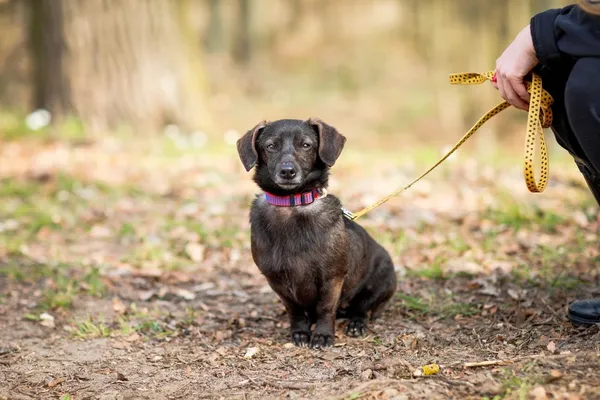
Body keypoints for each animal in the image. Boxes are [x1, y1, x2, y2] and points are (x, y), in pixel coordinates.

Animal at [236, 118, 398, 346]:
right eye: (270, 146)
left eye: (306, 145)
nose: (287, 171)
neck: (292, 204)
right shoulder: (276, 280)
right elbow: (294, 310)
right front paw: (300, 332)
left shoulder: (332, 278)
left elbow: (325, 308)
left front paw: (322, 335)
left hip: (380, 283)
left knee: (361, 309)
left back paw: (356, 324)